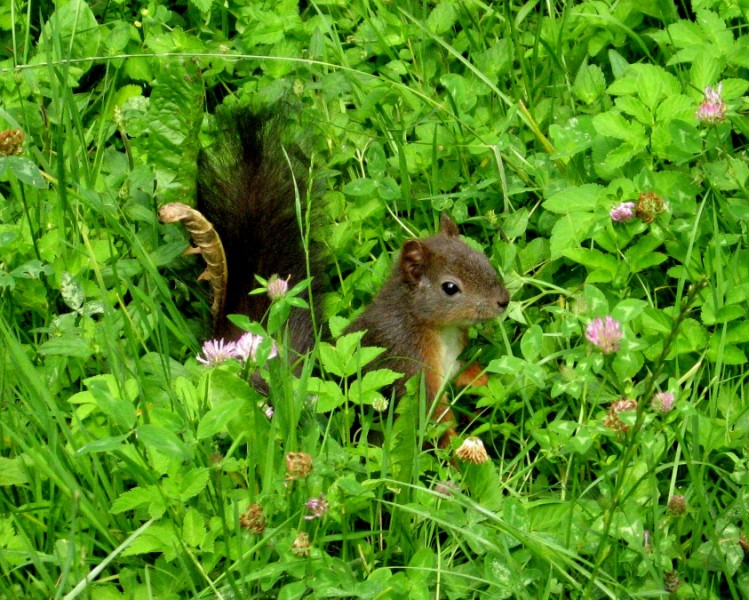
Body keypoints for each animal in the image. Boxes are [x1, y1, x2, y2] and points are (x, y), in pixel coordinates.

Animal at [158, 108, 508, 446]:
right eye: (450, 288)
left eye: (483, 258)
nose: (503, 301)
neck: (435, 329)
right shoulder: (405, 362)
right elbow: (431, 419)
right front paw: (458, 448)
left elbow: (466, 371)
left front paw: (486, 379)